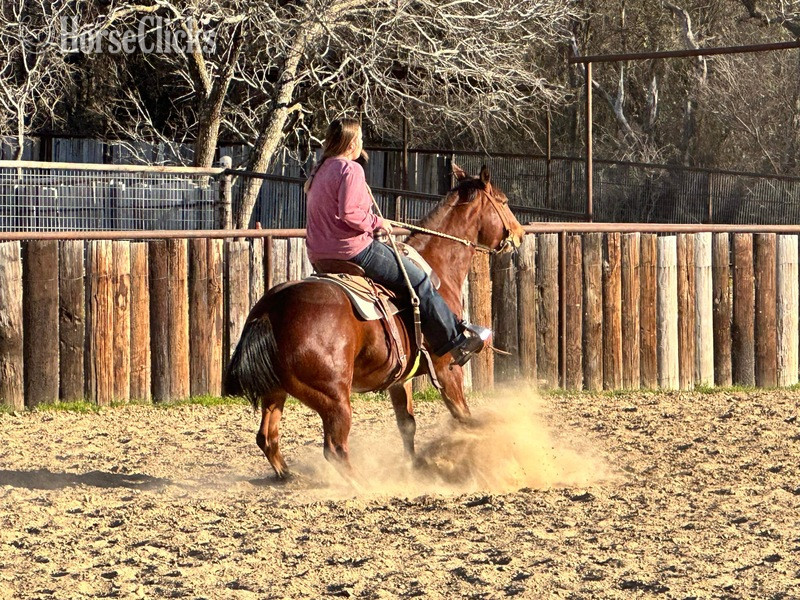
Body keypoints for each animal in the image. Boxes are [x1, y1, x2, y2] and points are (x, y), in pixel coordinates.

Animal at [224, 163, 526, 484]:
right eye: (504, 201)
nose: (520, 234)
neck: (436, 268)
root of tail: (270, 309)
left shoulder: (402, 378)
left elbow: (407, 423)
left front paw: (415, 466)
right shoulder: (447, 368)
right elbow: (462, 415)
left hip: (276, 391)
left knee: (267, 437)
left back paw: (289, 476)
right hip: (333, 397)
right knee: (335, 448)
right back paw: (365, 484)